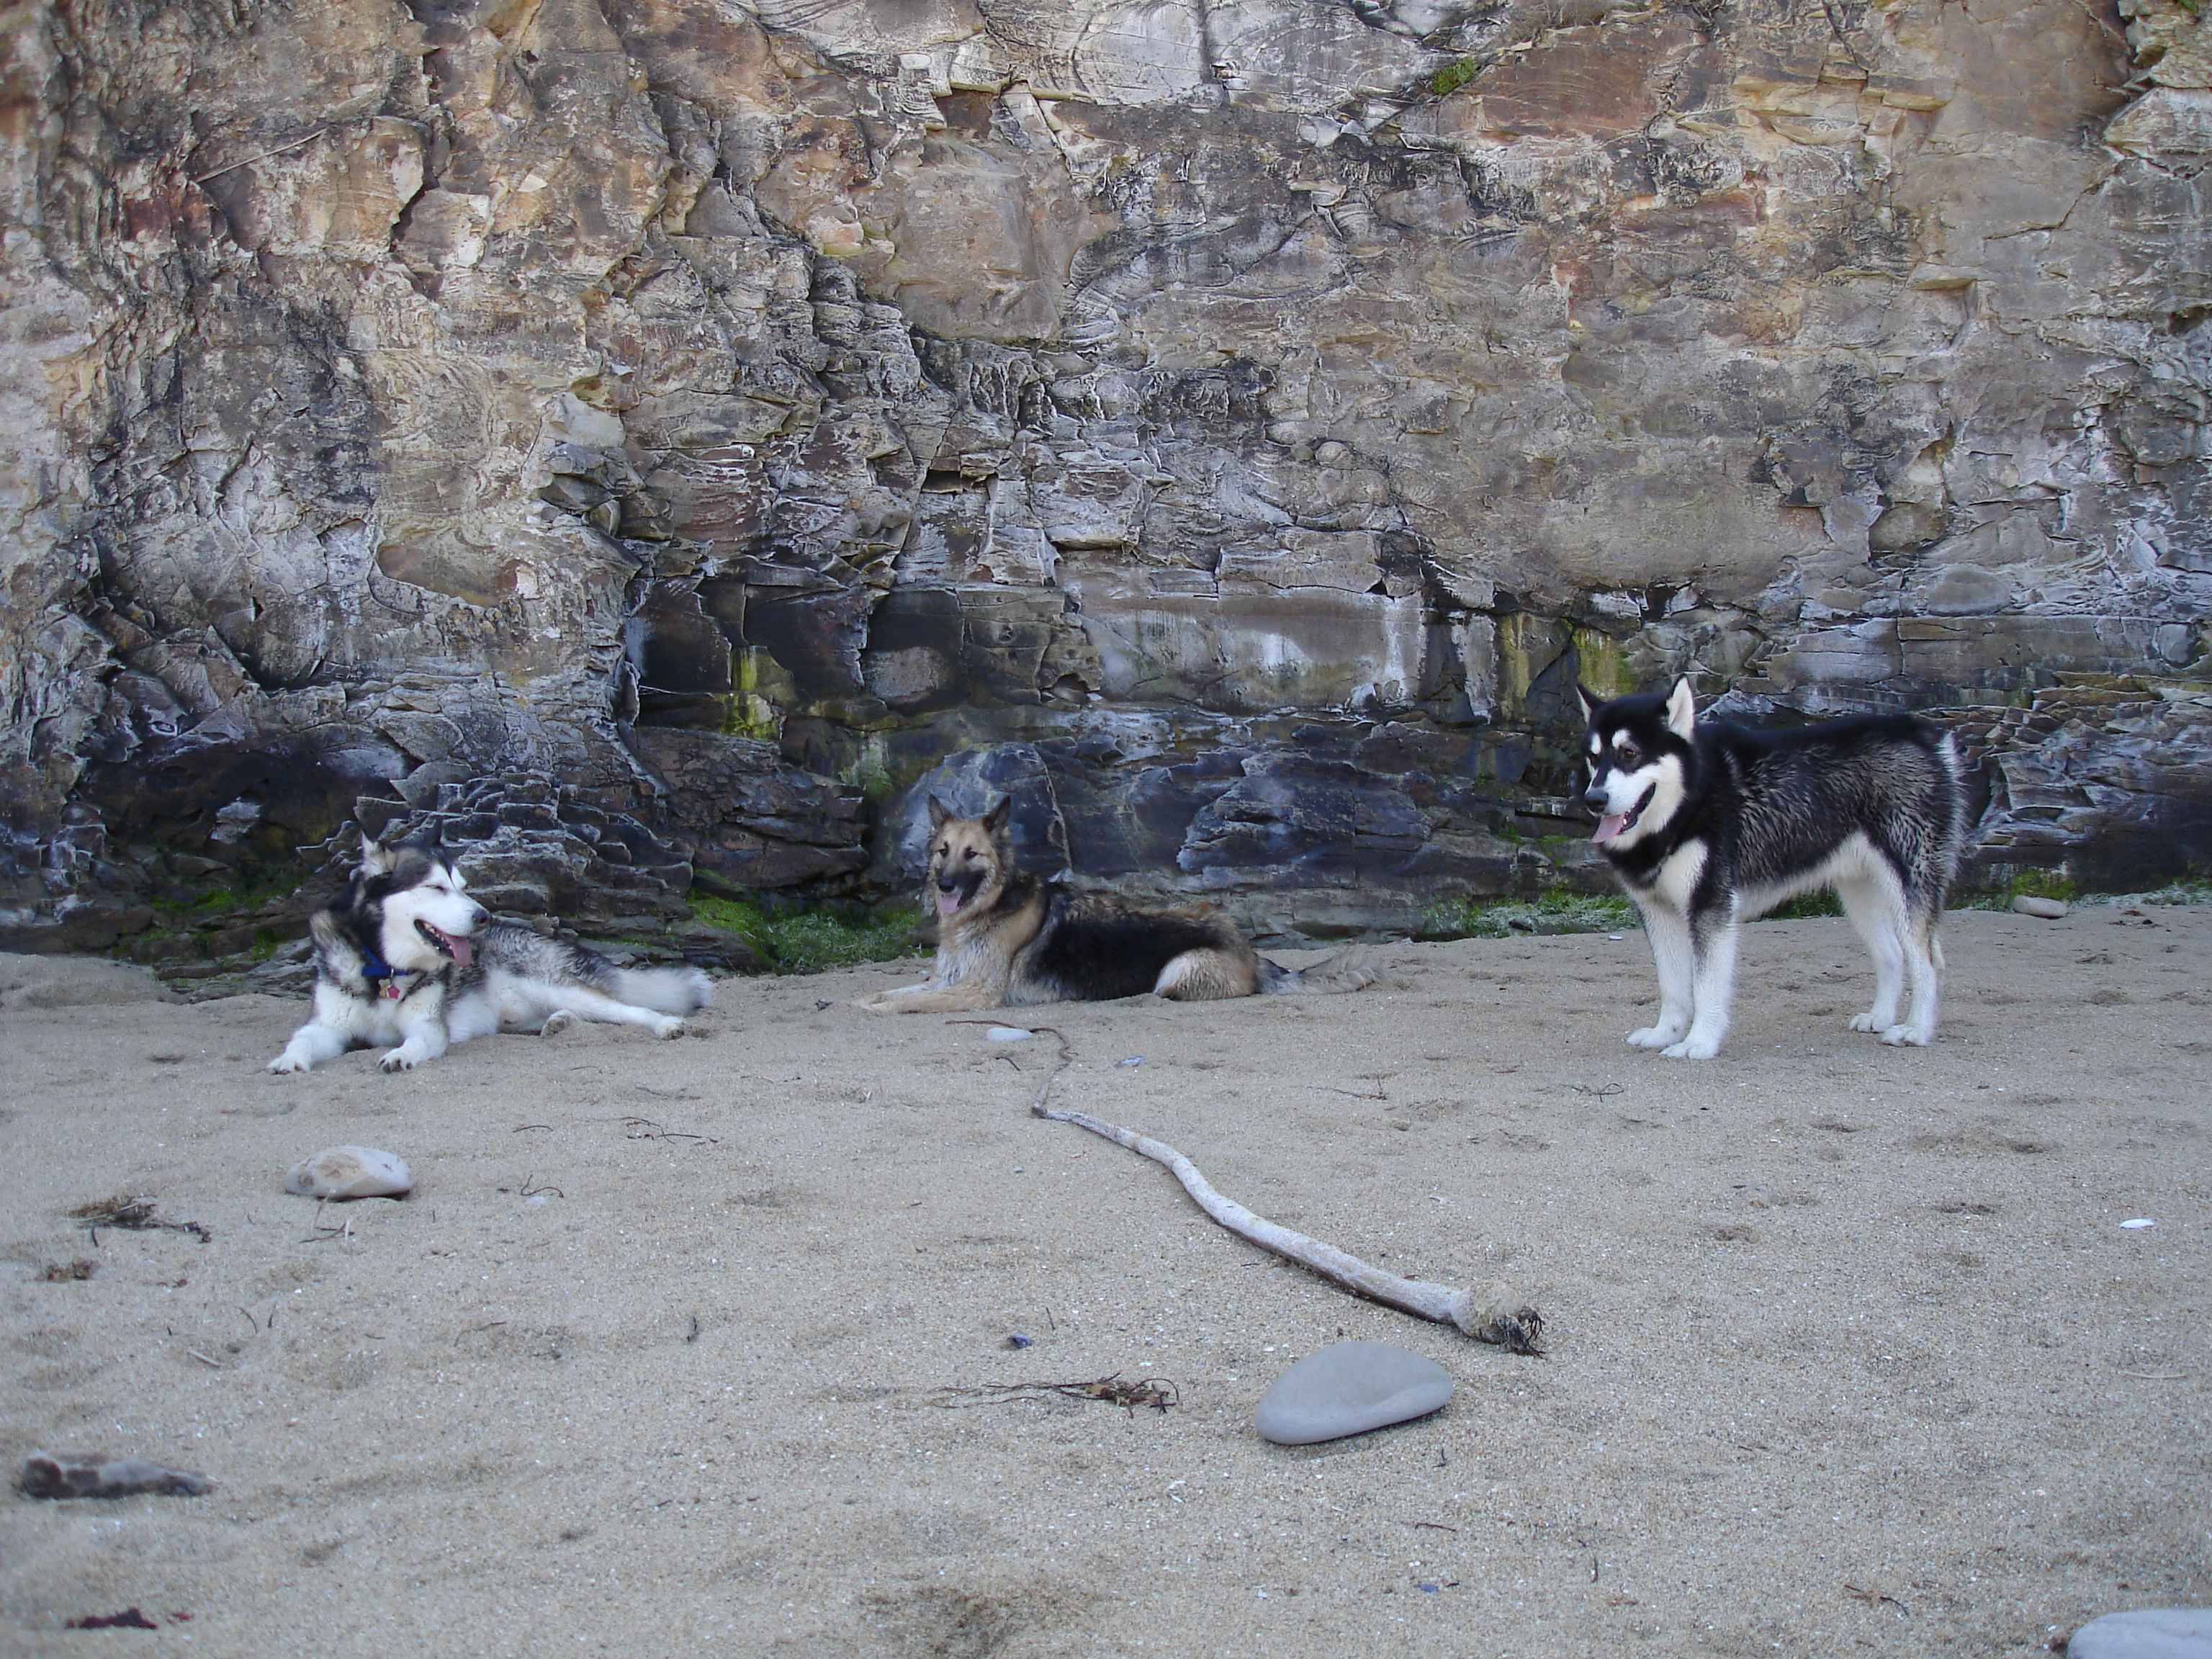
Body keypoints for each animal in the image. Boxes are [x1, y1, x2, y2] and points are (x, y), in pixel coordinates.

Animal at [267, 836, 712, 1073]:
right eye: (436, 888)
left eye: (462, 887)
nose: (483, 917)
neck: (383, 970)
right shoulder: (327, 1026)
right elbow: (301, 1040)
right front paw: (288, 1061)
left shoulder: (428, 1026)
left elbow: (416, 1042)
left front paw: (399, 1054)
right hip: (518, 1013)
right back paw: (560, 1025)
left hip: (555, 986)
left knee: (630, 1010)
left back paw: (665, 1024)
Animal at [856, 796, 1379, 1012]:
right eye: (942, 851)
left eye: (972, 855)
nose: (944, 885)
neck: (991, 906)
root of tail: (1248, 949)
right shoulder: (949, 980)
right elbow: (897, 991)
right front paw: (868, 999)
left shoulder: (975, 992)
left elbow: (909, 1002)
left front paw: (879, 1010)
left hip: (1175, 973)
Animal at [1578, 678, 1963, 1059]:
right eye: (1594, 758)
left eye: (1630, 753)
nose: (1593, 800)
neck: (1688, 802)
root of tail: (1920, 731)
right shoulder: (1657, 910)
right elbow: (1672, 986)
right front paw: (1665, 1033)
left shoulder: (1711, 907)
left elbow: (1705, 987)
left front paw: (1699, 1042)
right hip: (1859, 894)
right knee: (1892, 954)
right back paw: (1881, 1017)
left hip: (1909, 881)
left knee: (1929, 960)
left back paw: (1916, 1029)